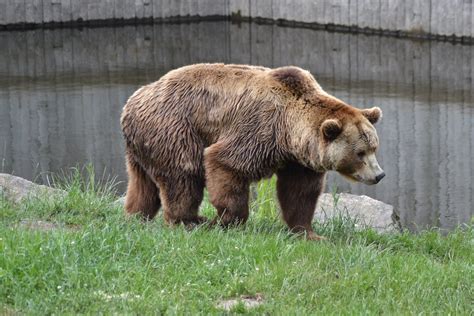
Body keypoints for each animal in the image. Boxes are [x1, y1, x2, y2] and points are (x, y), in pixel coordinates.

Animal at [120, 63, 384, 238]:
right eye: (360, 153)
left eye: (374, 147)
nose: (379, 175)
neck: (290, 132)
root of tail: (133, 100)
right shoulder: (260, 129)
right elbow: (226, 164)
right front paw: (228, 220)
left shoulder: (299, 161)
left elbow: (300, 193)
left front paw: (309, 233)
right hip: (174, 129)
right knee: (183, 177)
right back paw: (190, 221)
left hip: (145, 143)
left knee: (142, 185)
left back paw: (136, 216)